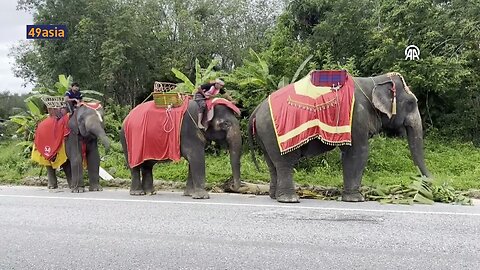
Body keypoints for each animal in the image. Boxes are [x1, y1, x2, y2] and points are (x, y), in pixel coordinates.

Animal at [248, 71, 432, 202]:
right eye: (412, 103)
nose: (431, 186)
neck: (374, 81)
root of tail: (256, 110)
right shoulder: (357, 117)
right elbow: (358, 152)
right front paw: (356, 199)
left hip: (265, 135)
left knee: (272, 164)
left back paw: (274, 196)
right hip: (274, 133)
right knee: (285, 162)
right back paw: (290, 199)